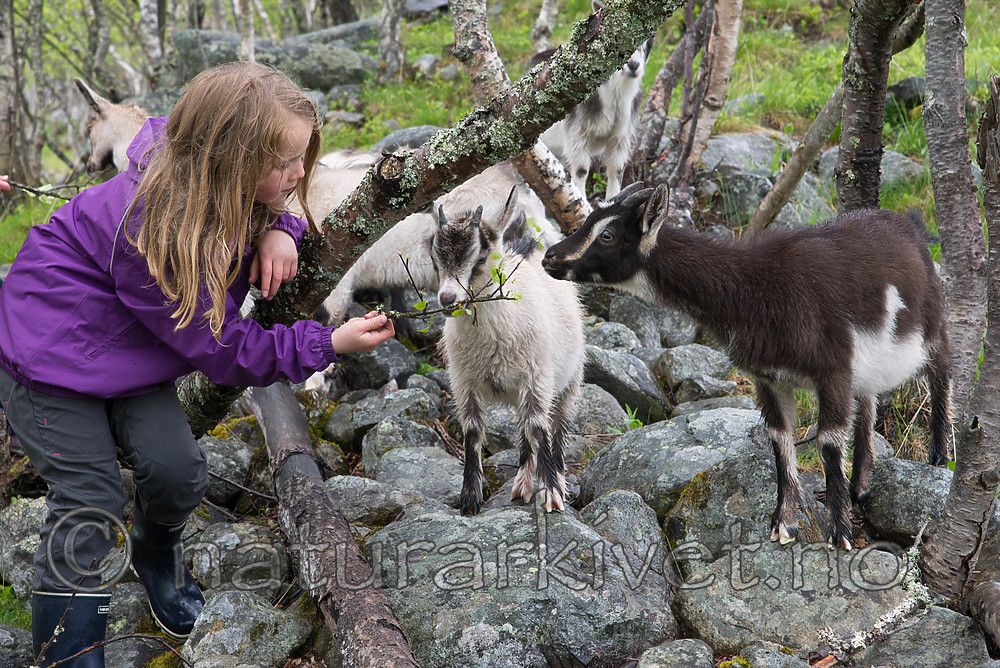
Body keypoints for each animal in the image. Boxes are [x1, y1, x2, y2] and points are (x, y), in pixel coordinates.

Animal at [431, 187, 585, 515]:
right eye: (435, 258)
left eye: (480, 258)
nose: (448, 299)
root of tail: (531, 248)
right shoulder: (464, 384)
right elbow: (473, 432)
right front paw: (470, 498)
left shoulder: (537, 376)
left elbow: (539, 428)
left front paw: (551, 493)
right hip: (519, 391)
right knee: (524, 428)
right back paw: (524, 483)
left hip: (569, 379)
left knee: (555, 425)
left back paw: (556, 477)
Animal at [535, 2, 652, 199]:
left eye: (649, 39)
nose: (633, 66)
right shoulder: (578, 134)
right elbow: (581, 170)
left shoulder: (620, 136)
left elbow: (616, 170)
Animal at [541, 183, 952, 550]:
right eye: (587, 219)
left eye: (607, 234)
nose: (550, 257)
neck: (756, 287)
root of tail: (912, 226)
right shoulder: (769, 378)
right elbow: (780, 439)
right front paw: (783, 524)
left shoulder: (832, 370)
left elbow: (829, 442)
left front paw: (840, 533)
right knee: (868, 400)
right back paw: (862, 486)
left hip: (932, 325)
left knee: (942, 372)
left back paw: (939, 458)